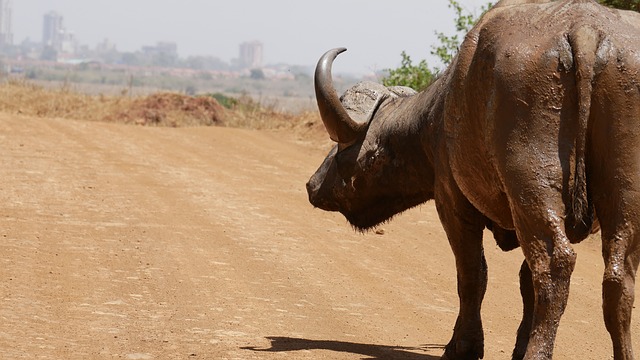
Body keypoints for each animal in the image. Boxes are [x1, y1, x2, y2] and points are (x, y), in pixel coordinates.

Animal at [304, 0, 640, 360]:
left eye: (344, 153)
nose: (313, 186)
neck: (439, 115)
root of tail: (585, 31)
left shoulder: (452, 204)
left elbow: (471, 274)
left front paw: (462, 346)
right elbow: (524, 282)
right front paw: (516, 345)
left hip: (532, 185)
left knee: (555, 264)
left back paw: (537, 352)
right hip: (623, 193)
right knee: (618, 277)